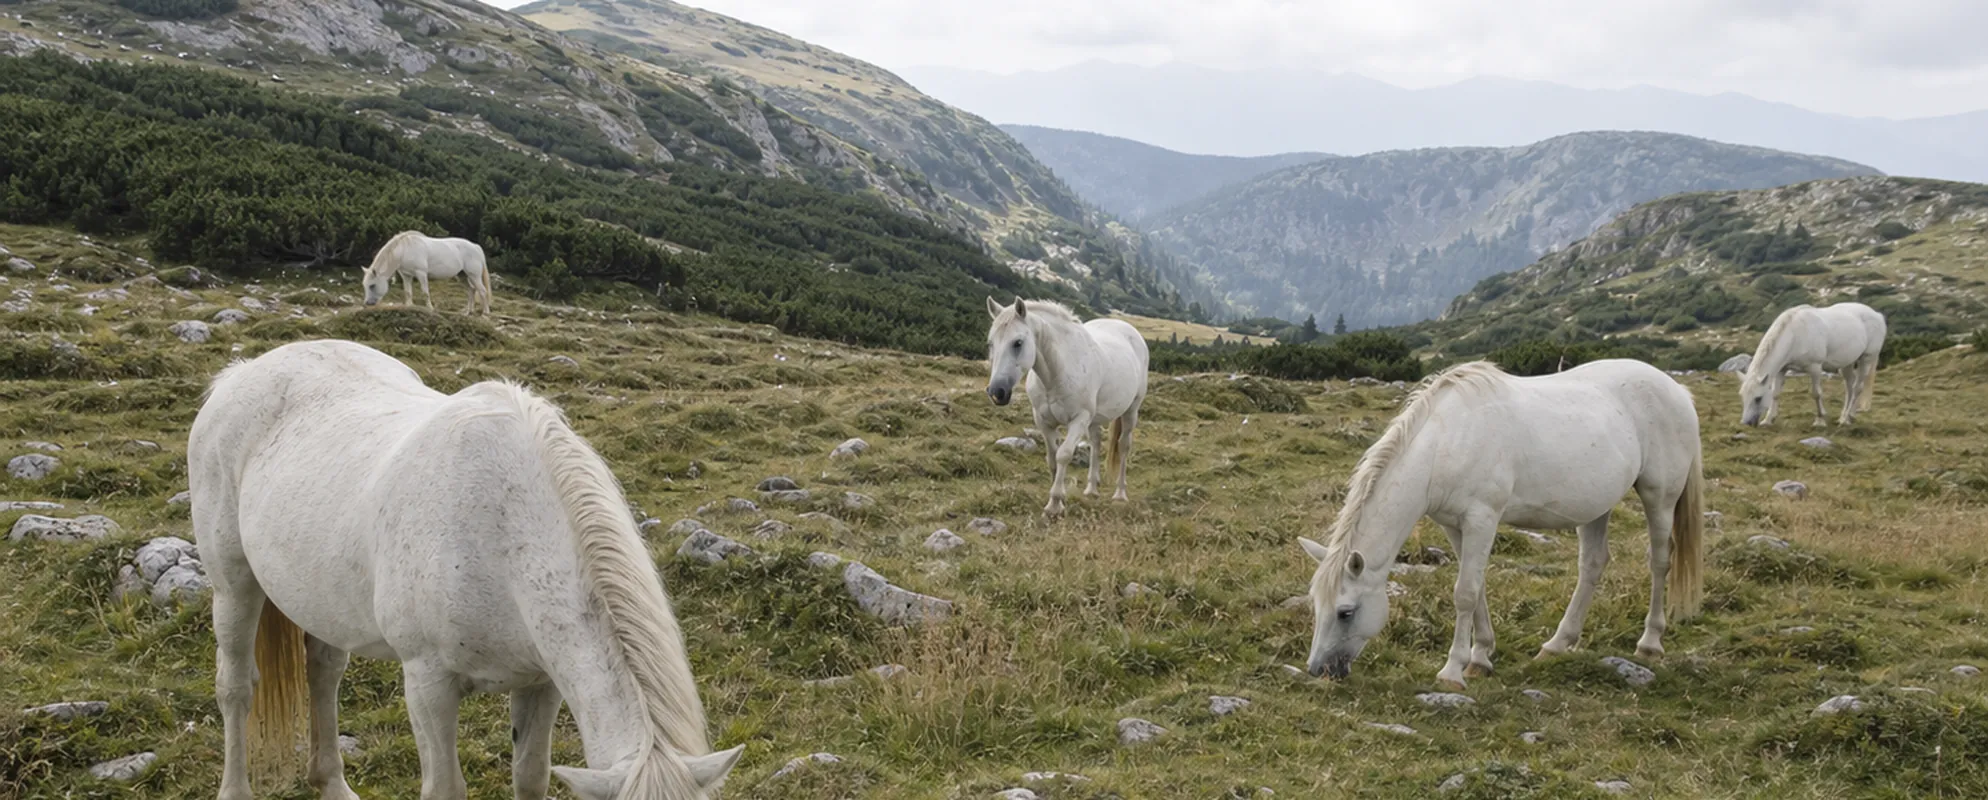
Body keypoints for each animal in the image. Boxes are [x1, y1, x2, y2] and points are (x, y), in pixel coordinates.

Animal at [188, 340, 742, 800]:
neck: (502, 534)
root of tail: (242, 372)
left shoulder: (541, 683)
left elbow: (530, 777)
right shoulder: (428, 682)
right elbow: (445, 788)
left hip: (322, 597)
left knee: (324, 672)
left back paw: (333, 785)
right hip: (234, 585)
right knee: (236, 686)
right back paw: (236, 788)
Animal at [361, 230, 493, 315]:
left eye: (372, 285)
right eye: (365, 286)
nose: (367, 303)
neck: (405, 250)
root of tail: (475, 246)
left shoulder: (421, 273)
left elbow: (425, 292)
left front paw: (430, 308)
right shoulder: (406, 275)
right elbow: (408, 292)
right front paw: (409, 306)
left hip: (474, 276)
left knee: (482, 291)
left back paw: (485, 313)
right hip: (464, 276)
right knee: (471, 290)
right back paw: (468, 311)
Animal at [983, 297, 1149, 517]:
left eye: (1017, 342)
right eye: (991, 343)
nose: (997, 392)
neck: (1057, 373)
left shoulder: (1079, 420)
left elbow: (1063, 455)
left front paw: (1054, 503)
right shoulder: (1043, 422)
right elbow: (1052, 458)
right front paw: (1058, 501)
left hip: (1131, 411)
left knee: (1123, 446)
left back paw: (1120, 494)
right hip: (1094, 420)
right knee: (1096, 443)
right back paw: (1091, 489)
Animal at [1296, 359, 1704, 689]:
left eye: (1345, 612)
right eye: (1315, 605)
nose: (1319, 671)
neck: (1446, 443)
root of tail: (1677, 390)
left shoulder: (1482, 519)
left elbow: (1465, 592)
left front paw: (1452, 671)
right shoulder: (1455, 526)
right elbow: (1475, 590)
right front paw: (1480, 658)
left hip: (1659, 496)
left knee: (1660, 561)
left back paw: (1649, 644)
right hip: (1595, 507)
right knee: (1592, 565)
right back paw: (1557, 645)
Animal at [1739, 302, 1887, 427]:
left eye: (1758, 398)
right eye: (1743, 396)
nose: (1746, 422)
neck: (1795, 335)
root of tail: (1877, 315)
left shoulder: (1815, 368)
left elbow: (1816, 393)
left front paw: (1820, 420)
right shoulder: (1782, 369)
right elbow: (1775, 393)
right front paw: (1768, 419)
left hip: (1867, 359)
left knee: (1857, 388)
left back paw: (1846, 418)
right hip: (1847, 363)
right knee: (1849, 388)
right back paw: (1846, 416)